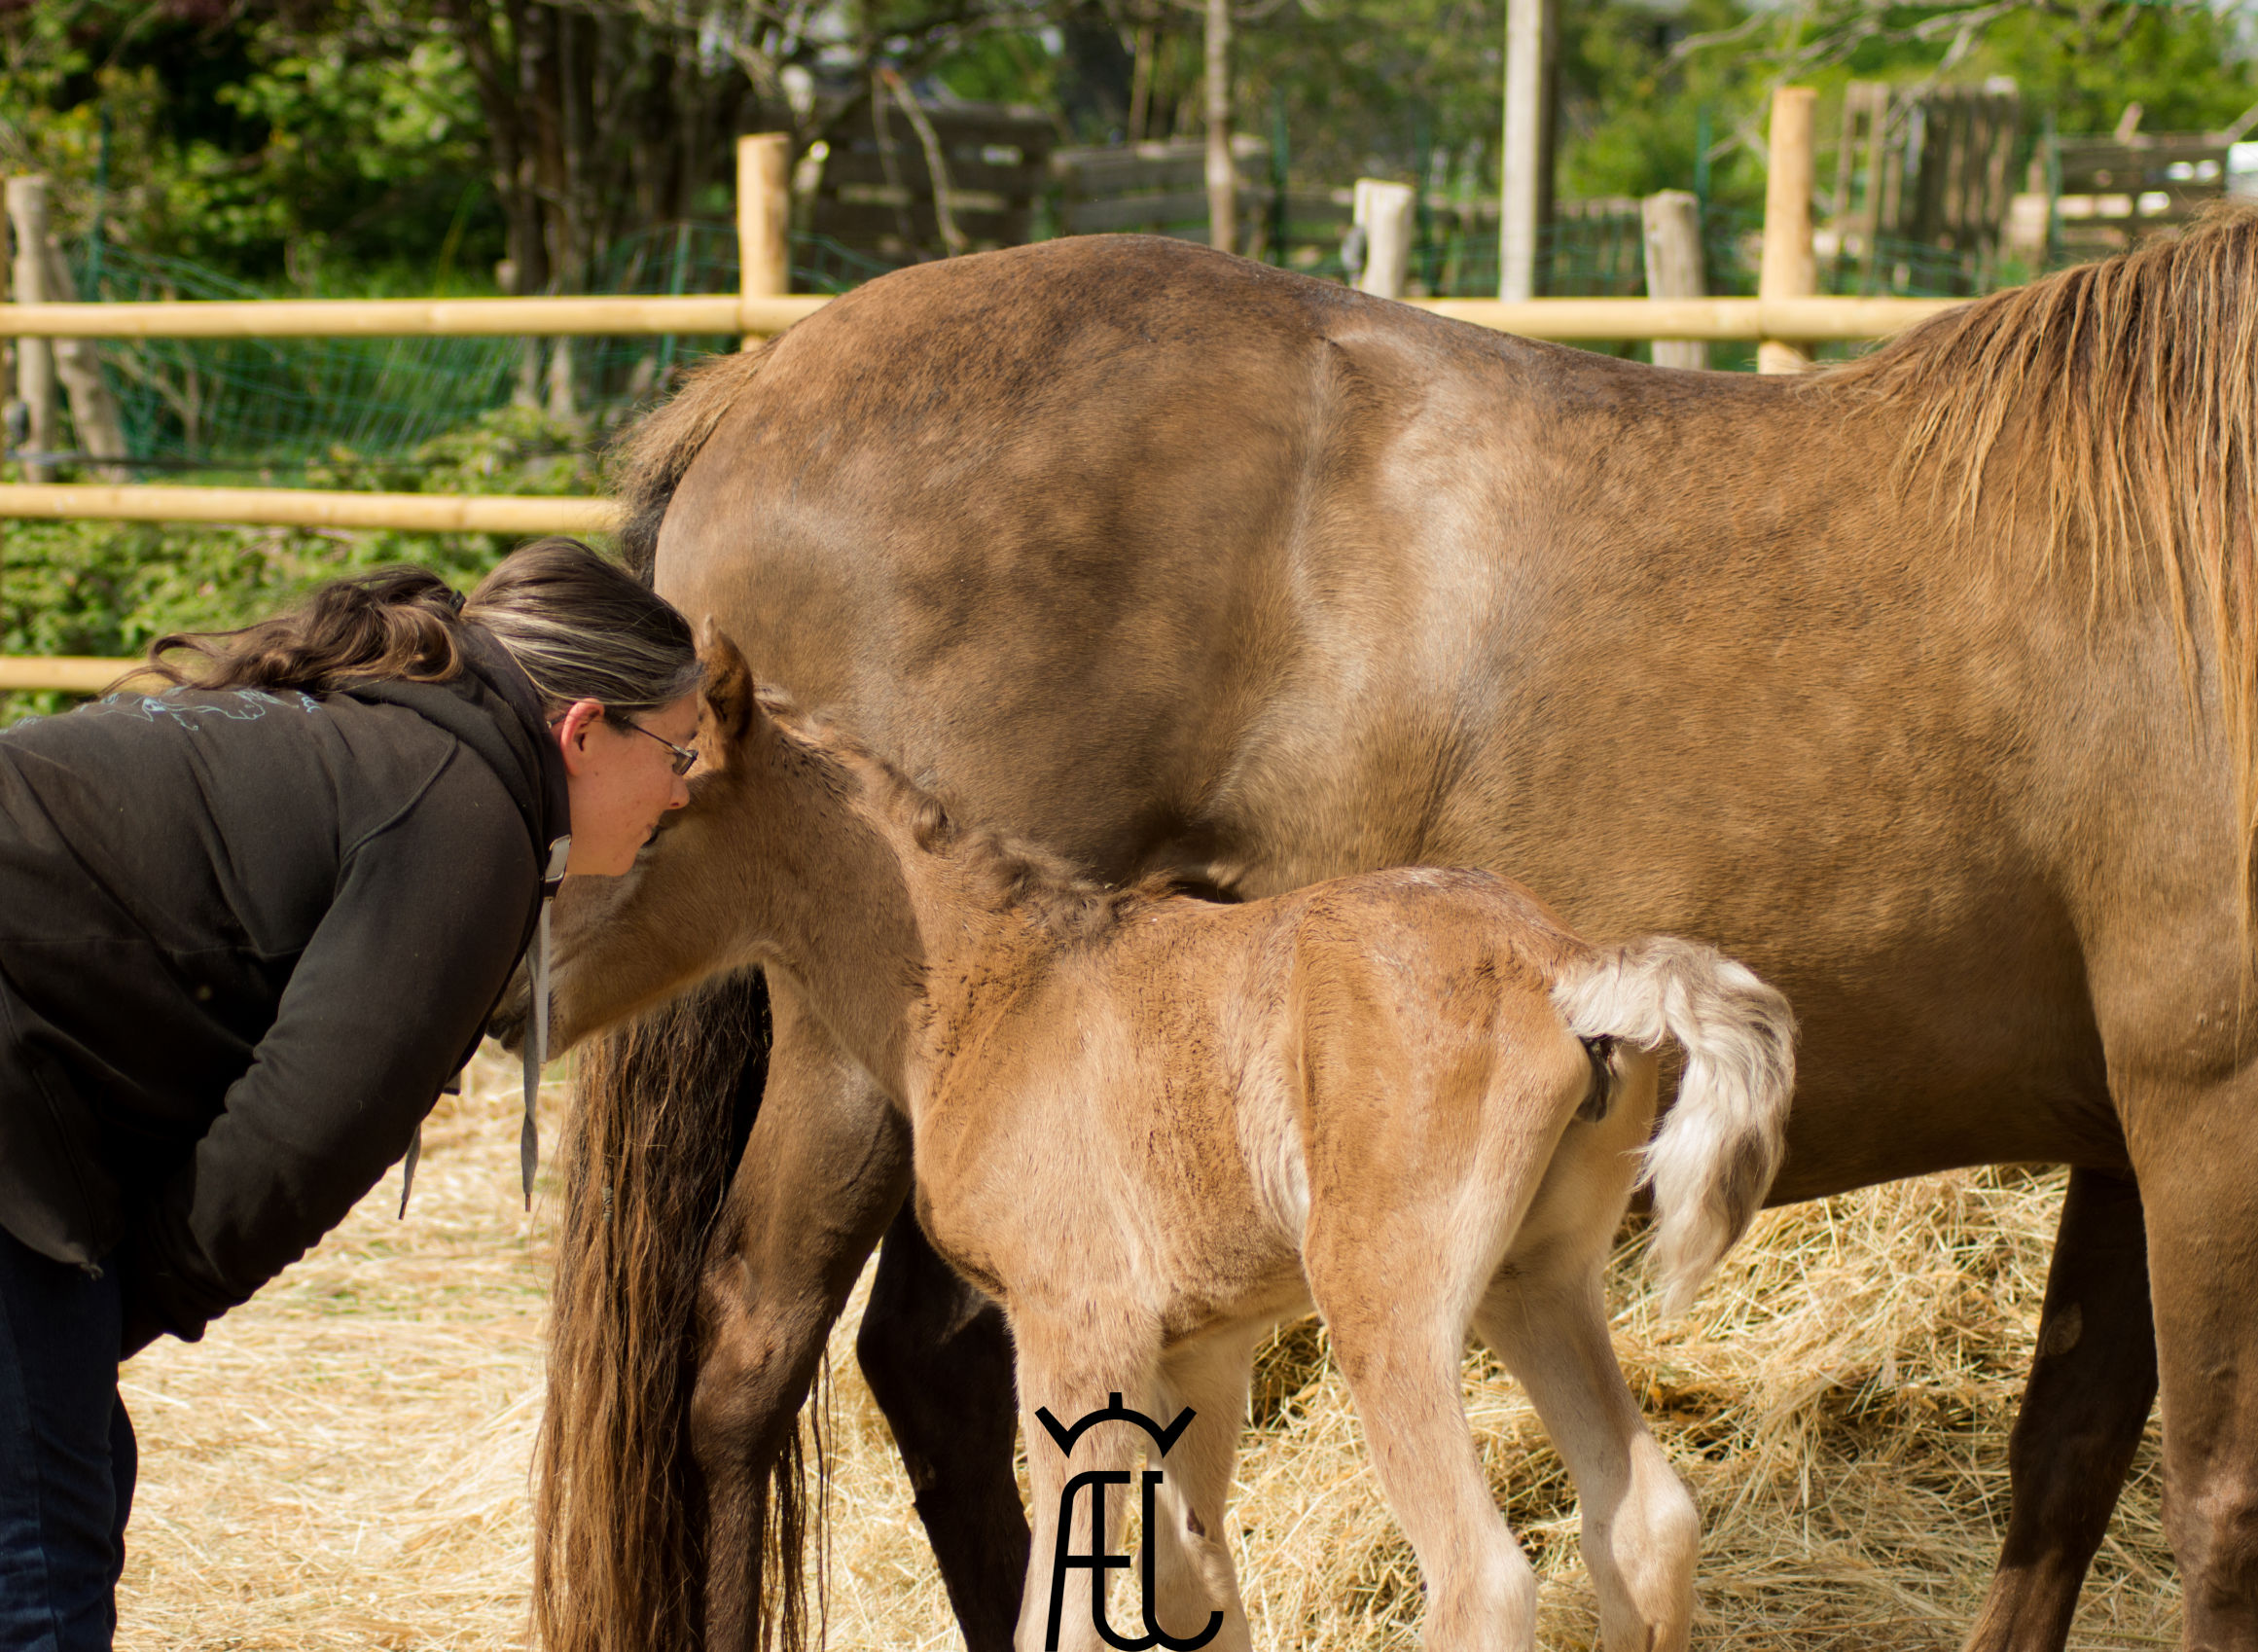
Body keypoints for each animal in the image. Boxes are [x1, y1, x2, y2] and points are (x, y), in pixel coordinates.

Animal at [537, 627, 1788, 1652]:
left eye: (650, 814)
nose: (524, 991)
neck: (996, 988)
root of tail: (1563, 965)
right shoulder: (1200, 1347)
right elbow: (1194, 1585)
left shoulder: (1073, 1326)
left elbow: (1066, 1611)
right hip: (1539, 1278)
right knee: (1642, 1525)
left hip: (1385, 1296)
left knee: (1480, 1581)